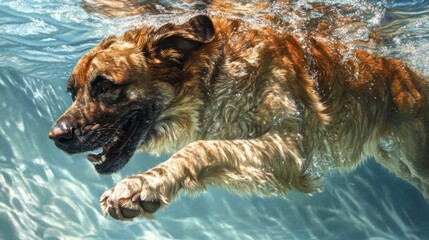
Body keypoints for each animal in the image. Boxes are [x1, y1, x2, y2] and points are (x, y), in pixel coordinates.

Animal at [48, 14, 426, 220]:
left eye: (104, 87)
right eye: (72, 92)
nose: (55, 137)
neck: (214, 72)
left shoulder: (288, 146)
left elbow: (201, 148)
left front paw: (143, 185)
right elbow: (211, 148)